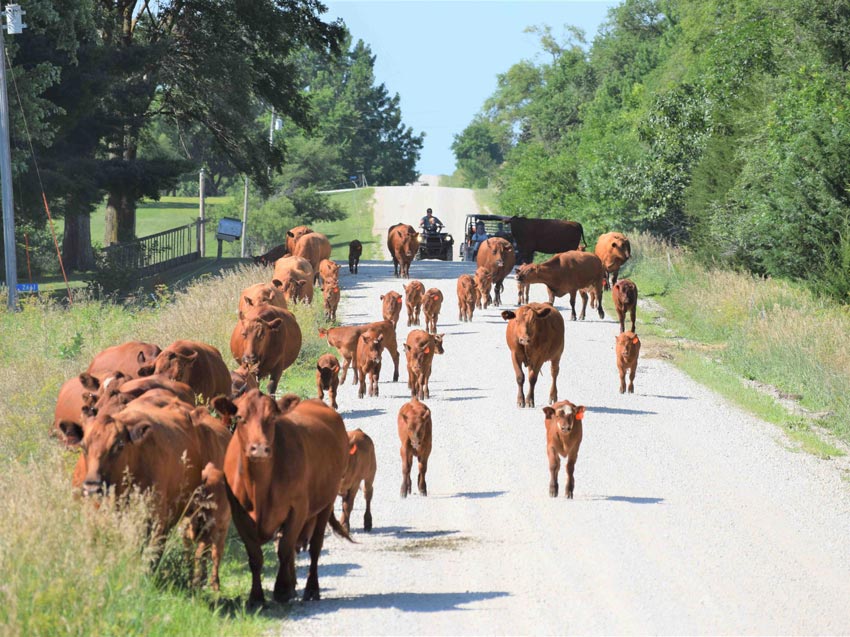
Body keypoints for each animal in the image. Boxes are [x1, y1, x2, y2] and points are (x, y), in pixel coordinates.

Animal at [214, 390, 350, 604]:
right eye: (240, 417)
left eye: (272, 418)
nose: (260, 448)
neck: (258, 486)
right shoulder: (239, 515)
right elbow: (255, 556)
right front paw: (256, 597)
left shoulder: (298, 508)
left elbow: (285, 548)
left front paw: (281, 590)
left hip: (327, 501)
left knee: (315, 546)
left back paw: (311, 589)